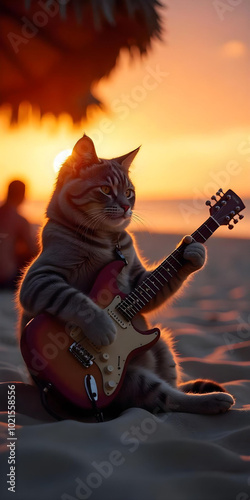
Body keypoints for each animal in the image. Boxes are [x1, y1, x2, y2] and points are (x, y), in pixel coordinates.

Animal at [18, 135, 234, 416]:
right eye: (105, 190)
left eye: (130, 193)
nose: (125, 207)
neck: (109, 239)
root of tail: (48, 385)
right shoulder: (38, 279)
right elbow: (76, 300)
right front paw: (103, 329)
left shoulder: (139, 281)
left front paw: (194, 252)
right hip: (132, 380)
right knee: (167, 399)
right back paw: (214, 400)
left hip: (163, 346)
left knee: (172, 384)